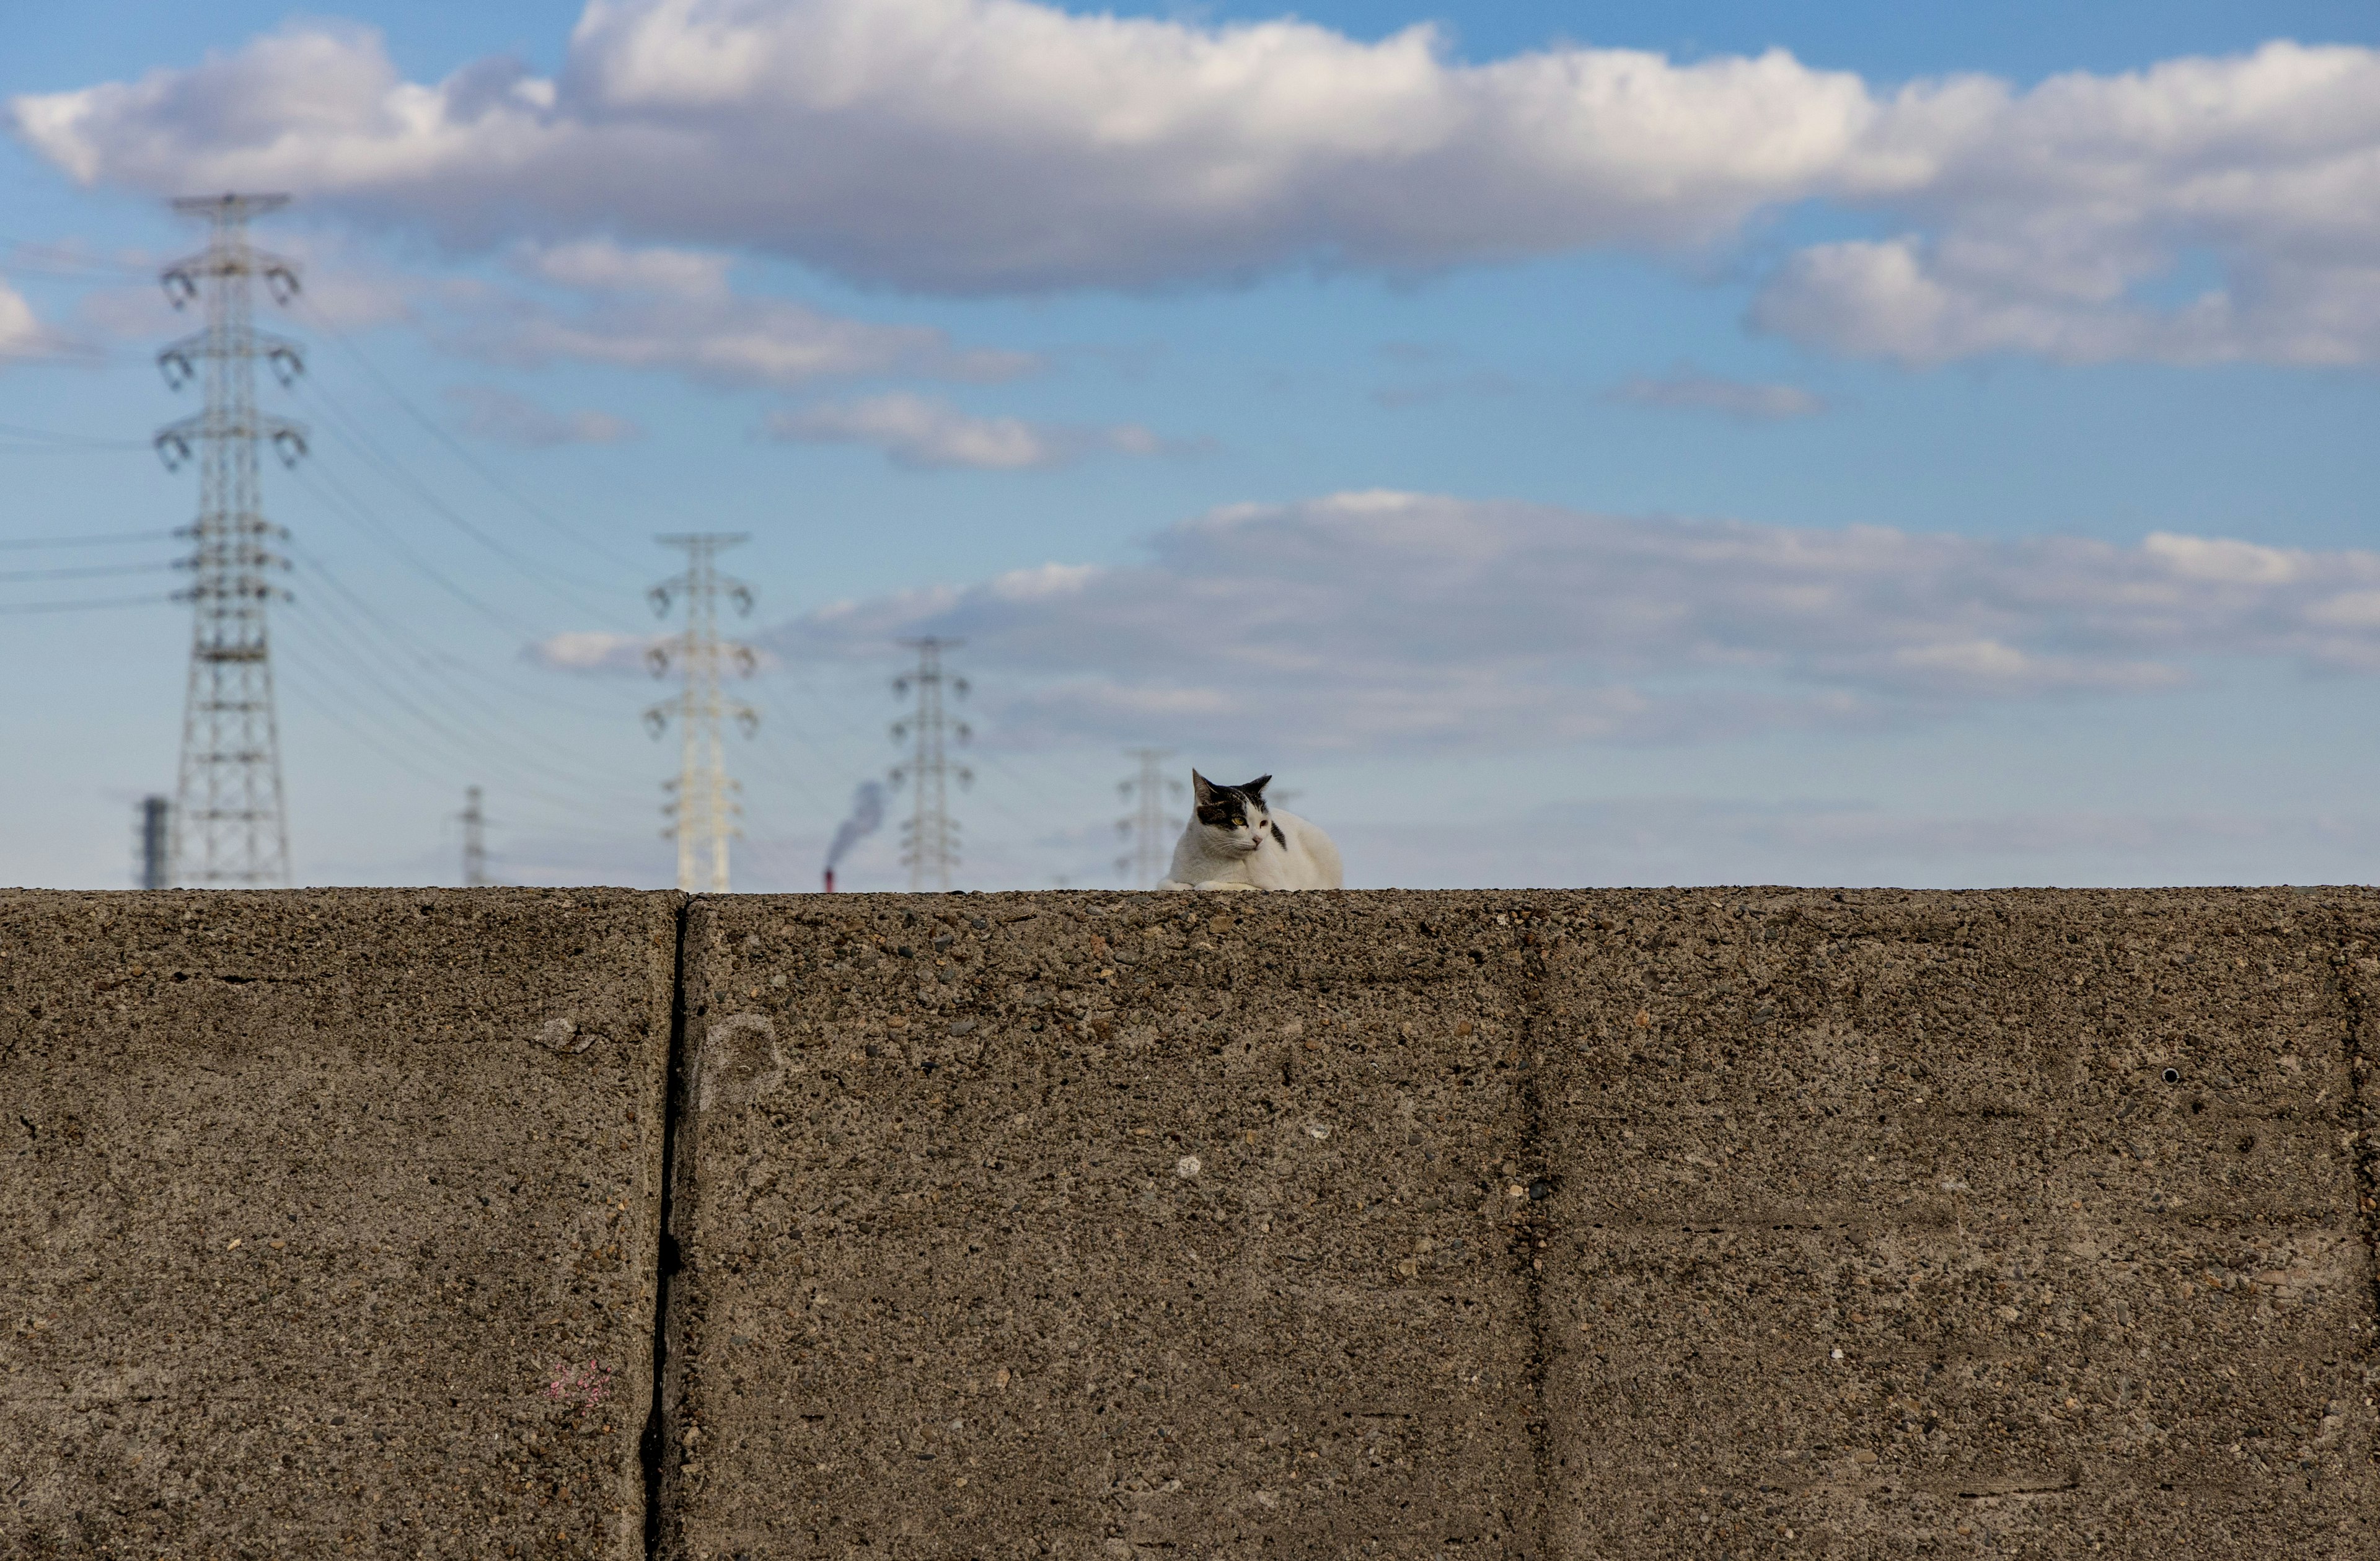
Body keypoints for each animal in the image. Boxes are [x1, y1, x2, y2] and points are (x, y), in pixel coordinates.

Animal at [1152, 766, 1342, 890]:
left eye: (1263, 823)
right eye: (1239, 821)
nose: (1258, 839)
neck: (1214, 858)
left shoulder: (1275, 887)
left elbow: (1220, 885)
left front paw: (1205, 884)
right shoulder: (1166, 880)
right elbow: (1171, 885)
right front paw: (1187, 885)